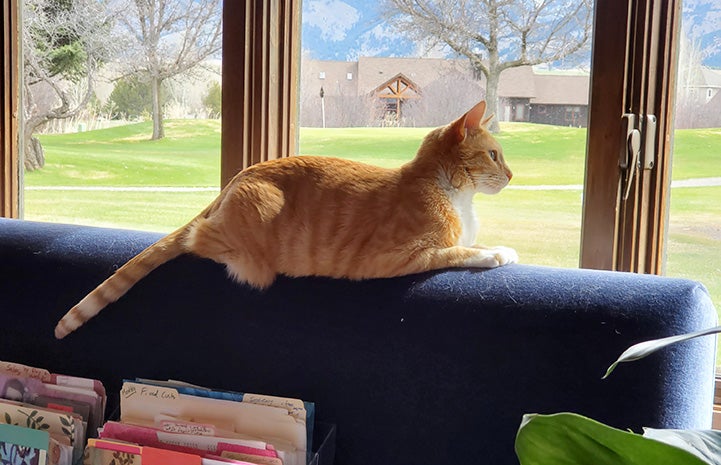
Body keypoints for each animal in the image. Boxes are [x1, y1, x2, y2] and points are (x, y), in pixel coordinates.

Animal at [56, 100, 516, 338]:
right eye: (495, 155)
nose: (513, 175)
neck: (453, 193)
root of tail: (234, 181)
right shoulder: (402, 256)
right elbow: (459, 251)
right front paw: (496, 253)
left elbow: (468, 243)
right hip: (251, 237)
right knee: (196, 238)